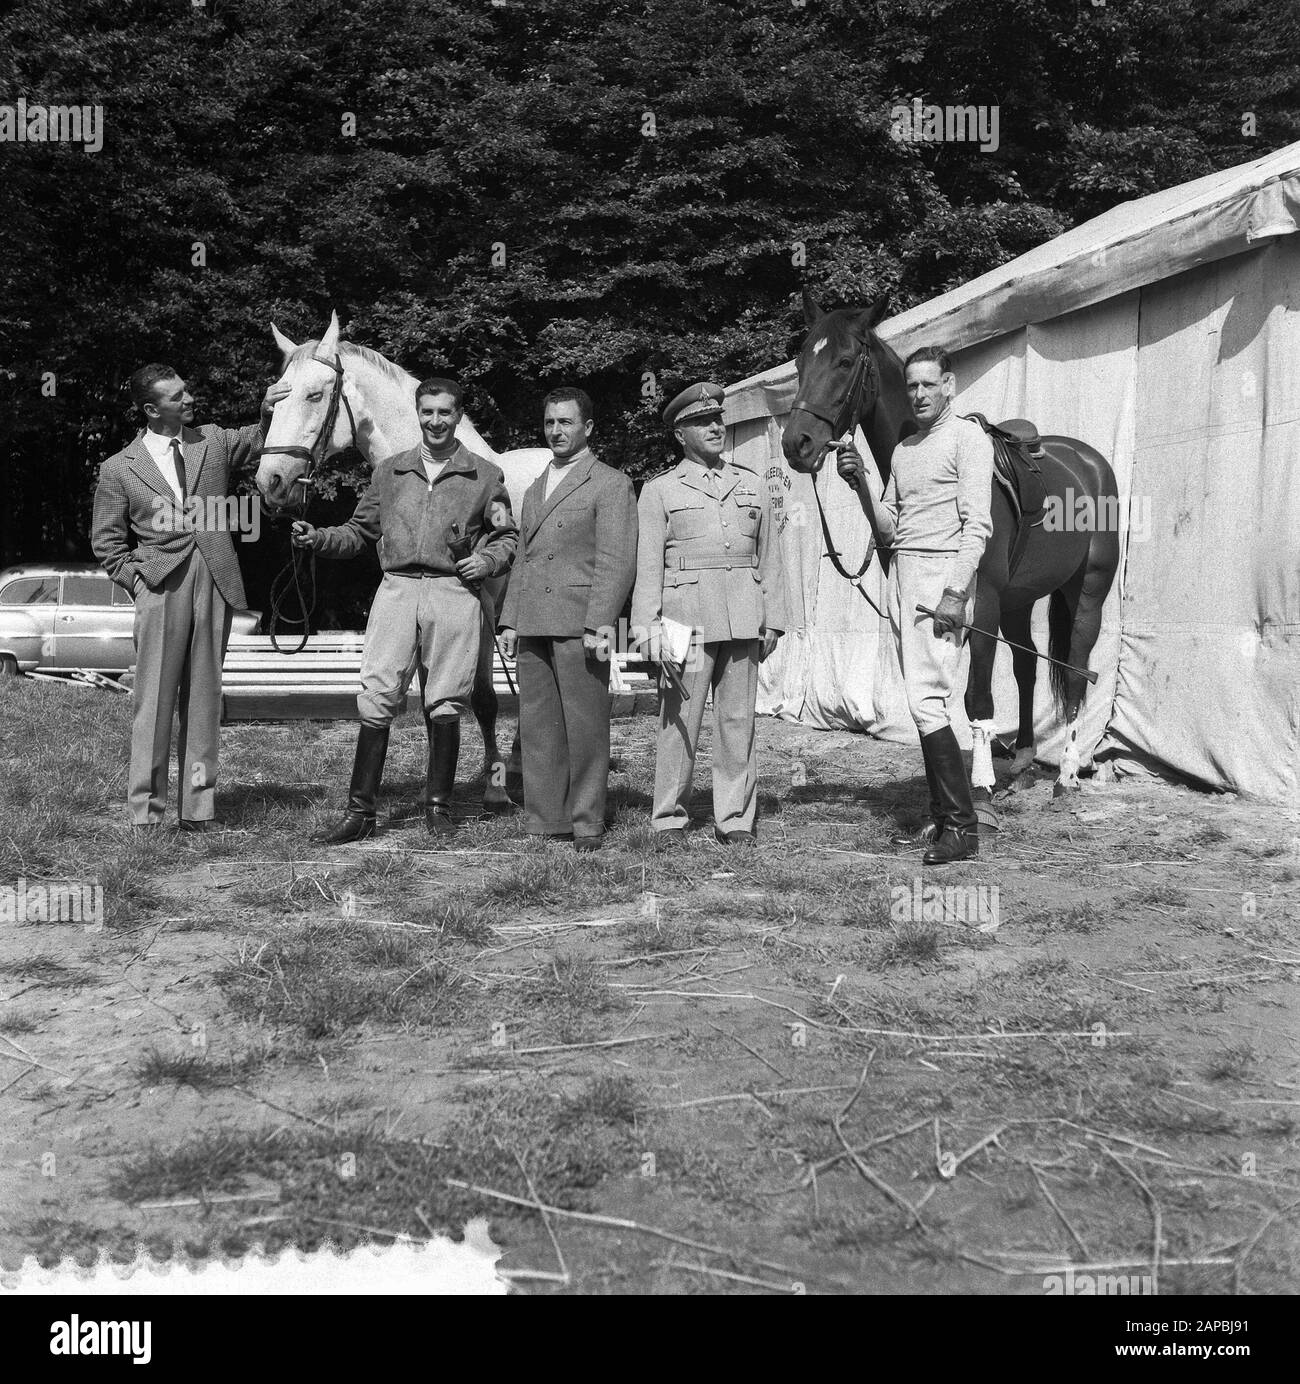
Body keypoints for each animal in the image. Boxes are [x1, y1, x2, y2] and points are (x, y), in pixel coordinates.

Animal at [775, 292, 1124, 808]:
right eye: (800, 364)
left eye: (844, 361)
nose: (797, 444)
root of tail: (1090, 462)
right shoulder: (917, 606)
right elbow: (928, 697)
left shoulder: (981, 604)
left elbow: (975, 697)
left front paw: (978, 790)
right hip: (1020, 599)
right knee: (1026, 666)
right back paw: (1022, 762)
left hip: (1086, 591)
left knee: (1077, 670)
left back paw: (1065, 773)